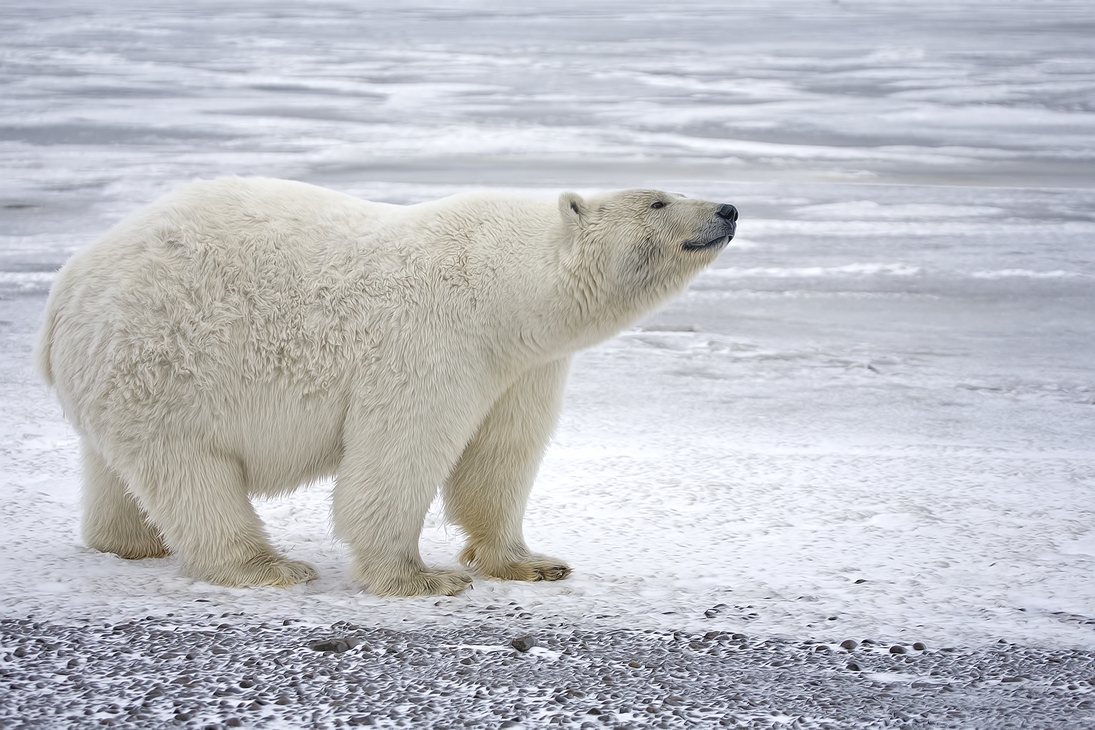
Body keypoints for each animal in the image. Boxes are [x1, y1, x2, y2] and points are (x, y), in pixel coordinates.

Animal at [36, 177, 735, 595]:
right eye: (659, 200)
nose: (729, 208)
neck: (503, 284)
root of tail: (63, 292)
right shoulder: (433, 339)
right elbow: (399, 454)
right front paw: (420, 578)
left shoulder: (523, 366)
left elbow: (499, 457)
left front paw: (531, 562)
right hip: (164, 362)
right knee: (191, 471)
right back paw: (265, 565)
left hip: (120, 380)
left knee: (121, 472)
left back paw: (129, 541)